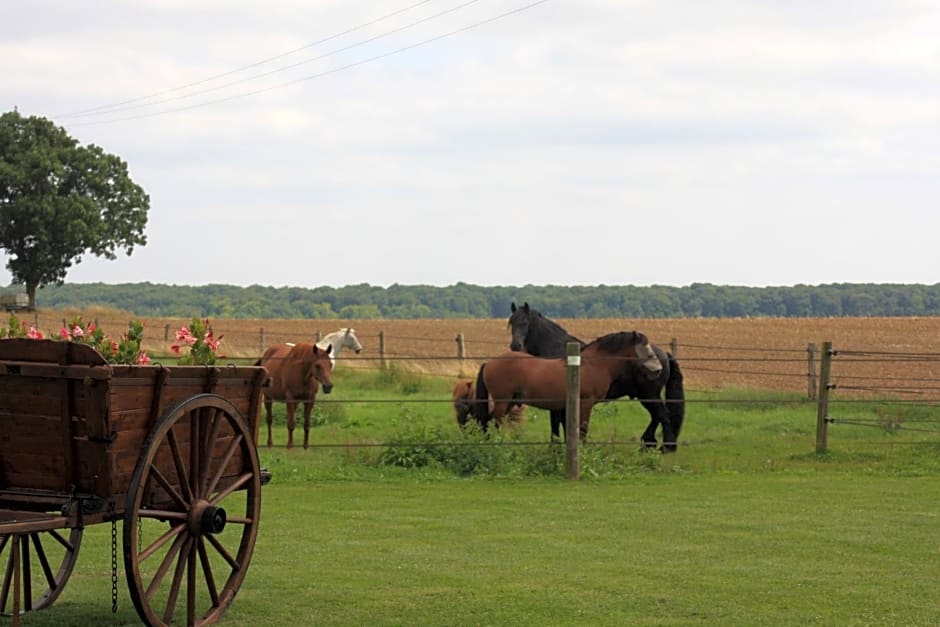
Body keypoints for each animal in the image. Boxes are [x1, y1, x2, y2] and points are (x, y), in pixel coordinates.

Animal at [470, 334, 652, 442]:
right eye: (645, 347)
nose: (656, 369)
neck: (592, 364)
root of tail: (489, 363)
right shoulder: (585, 404)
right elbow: (582, 430)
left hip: (509, 402)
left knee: (488, 421)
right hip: (502, 401)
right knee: (495, 422)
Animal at [510, 300, 688, 452]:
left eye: (525, 322)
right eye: (511, 323)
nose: (515, 345)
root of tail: (664, 355)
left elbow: (557, 425)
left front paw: (555, 449)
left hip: (649, 394)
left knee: (662, 416)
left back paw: (664, 447)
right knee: (657, 416)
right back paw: (649, 444)